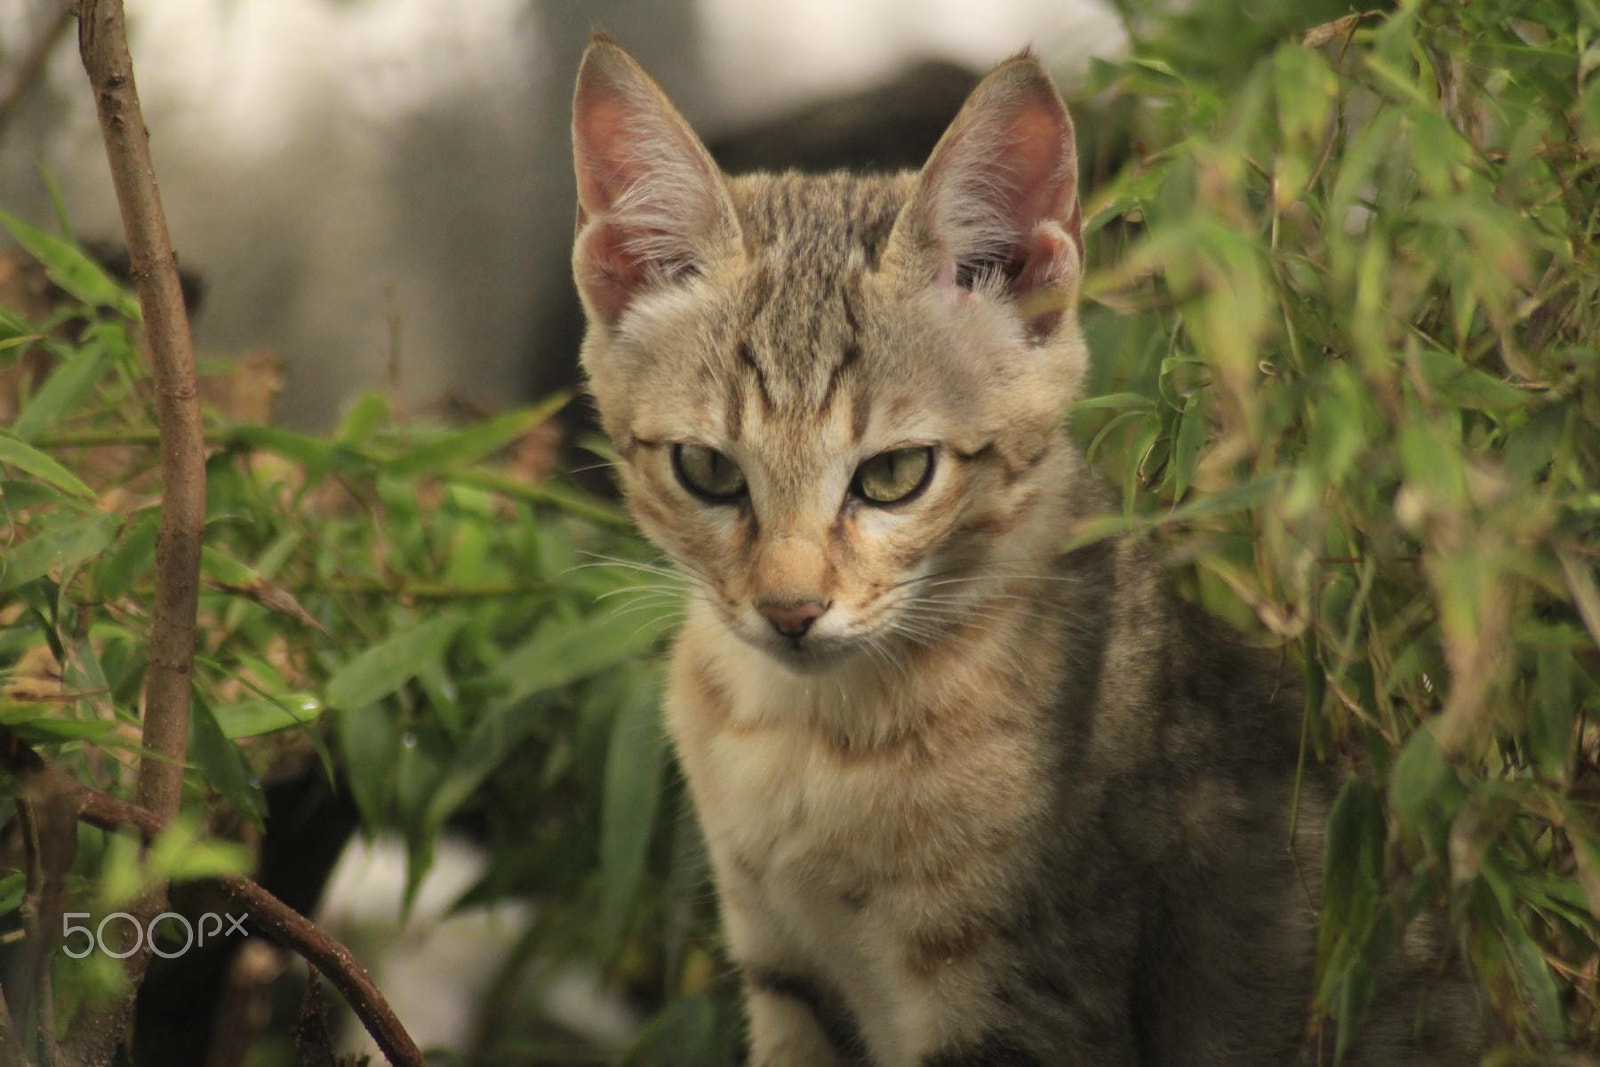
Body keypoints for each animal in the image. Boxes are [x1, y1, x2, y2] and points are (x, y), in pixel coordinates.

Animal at [569, 33, 1491, 1067]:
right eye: (707, 470)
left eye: (894, 474)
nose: (791, 610)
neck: (813, 741)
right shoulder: (784, 972)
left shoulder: (1020, 998)